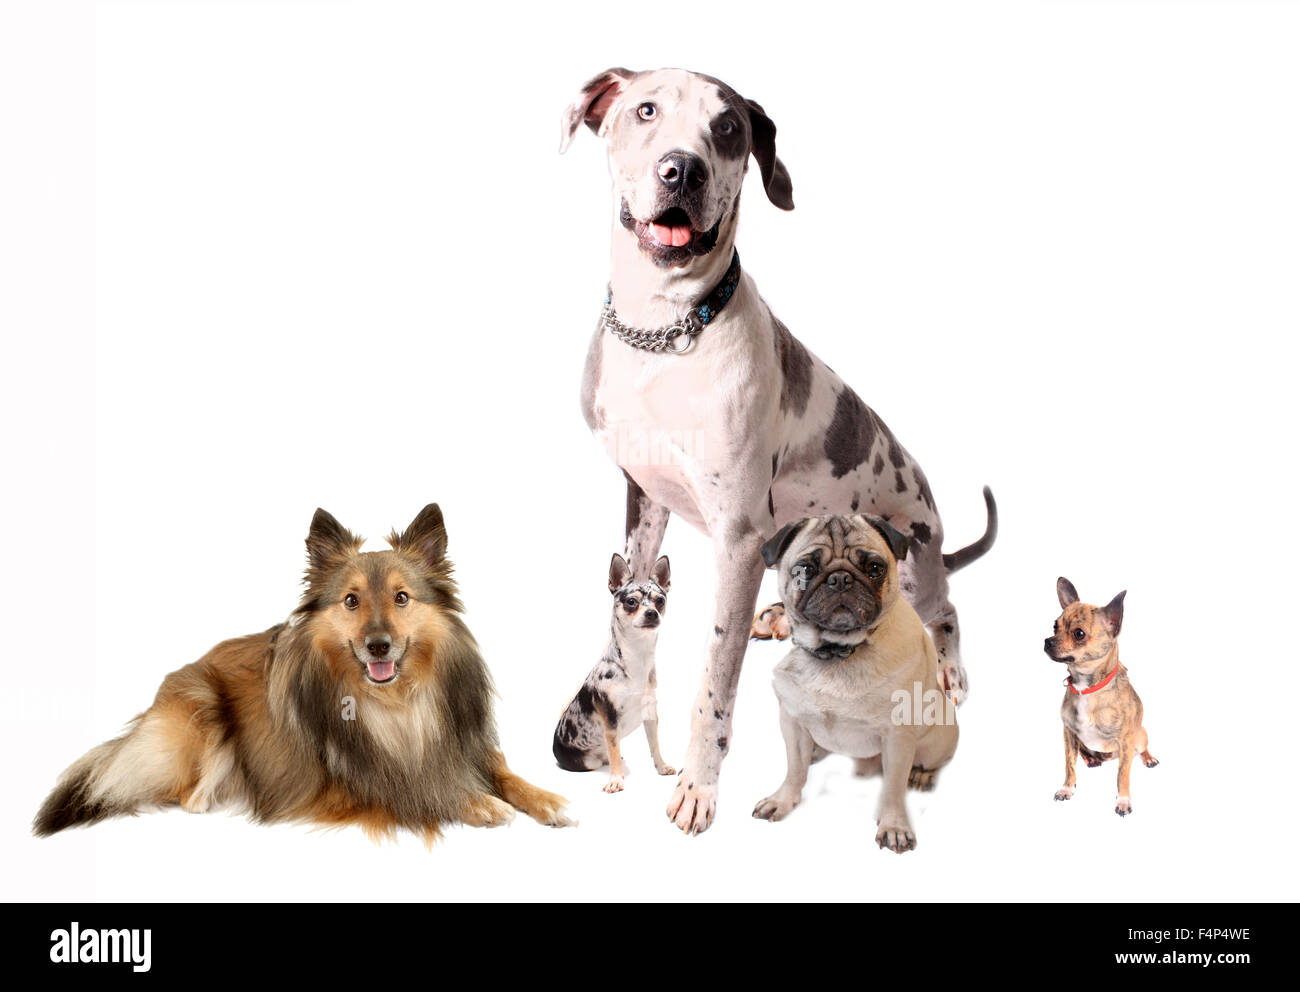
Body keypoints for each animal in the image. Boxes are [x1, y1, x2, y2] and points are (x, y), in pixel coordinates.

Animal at [551, 559, 676, 790]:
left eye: (660, 601)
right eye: (631, 602)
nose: (652, 613)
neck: (638, 657)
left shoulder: (650, 716)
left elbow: (654, 745)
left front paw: (661, 767)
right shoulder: (610, 720)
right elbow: (615, 748)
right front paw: (616, 779)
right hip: (588, 761)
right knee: (608, 754)